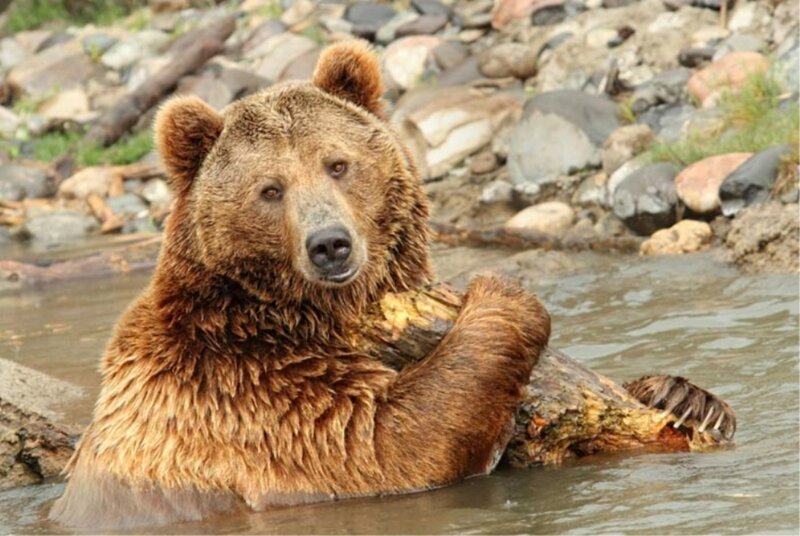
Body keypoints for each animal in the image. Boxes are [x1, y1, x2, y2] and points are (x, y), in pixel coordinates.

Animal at [49, 40, 551, 529]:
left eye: (337, 164)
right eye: (270, 189)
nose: (329, 244)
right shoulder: (241, 393)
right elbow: (381, 441)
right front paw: (504, 296)